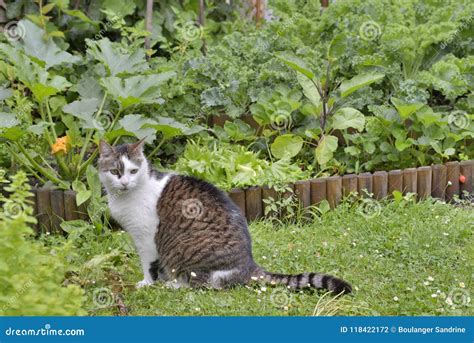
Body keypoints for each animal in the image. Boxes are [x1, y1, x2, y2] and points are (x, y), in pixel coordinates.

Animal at [98, 138, 352, 294]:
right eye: (115, 171)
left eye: (133, 171)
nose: (125, 182)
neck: (126, 197)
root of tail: (249, 266)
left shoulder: (146, 238)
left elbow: (149, 266)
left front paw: (147, 283)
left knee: (206, 284)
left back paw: (176, 286)